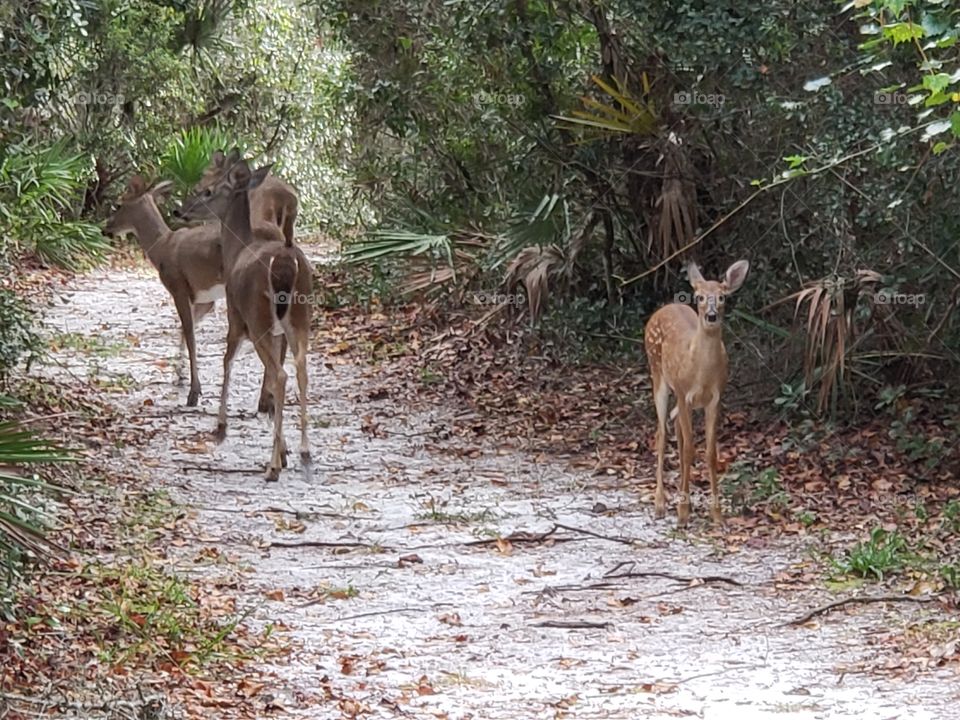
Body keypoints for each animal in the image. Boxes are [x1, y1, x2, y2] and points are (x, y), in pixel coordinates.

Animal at [104, 176, 278, 411]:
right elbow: (185, 329)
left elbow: (189, 335)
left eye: (119, 204)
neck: (163, 247)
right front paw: (179, 377)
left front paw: (193, 392)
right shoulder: (204, 297)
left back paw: (265, 399)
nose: (106, 228)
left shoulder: (178, 286)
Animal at [176, 156, 312, 481]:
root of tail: (286, 263)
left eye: (207, 190)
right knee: (300, 370)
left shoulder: (235, 317)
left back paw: (273, 467)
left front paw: (221, 424)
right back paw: (305, 452)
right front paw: (285, 448)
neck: (238, 248)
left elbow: (227, 361)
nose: (180, 210)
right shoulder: (274, 331)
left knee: (281, 374)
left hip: (258, 316)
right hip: (300, 318)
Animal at [643, 260, 750, 527]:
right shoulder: (684, 393)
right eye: (700, 297)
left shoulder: (715, 398)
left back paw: (686, 502)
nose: (711, 315)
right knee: (661, 433)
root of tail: (663, 309)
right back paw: (660, 505)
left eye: (722, 297)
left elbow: (710, 453)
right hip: (658, 375)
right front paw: (681, 515)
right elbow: (690, 448)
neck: (702, 373)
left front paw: (717, 515)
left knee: (676, 431)